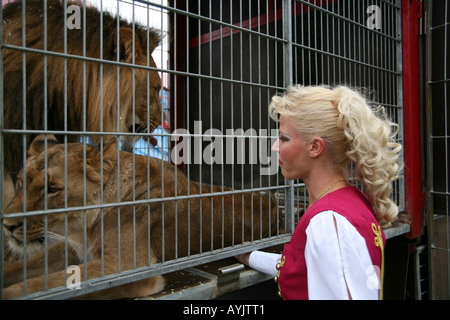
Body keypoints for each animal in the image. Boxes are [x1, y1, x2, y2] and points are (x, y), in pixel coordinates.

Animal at [1, 134, 280, 298]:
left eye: (52, 189)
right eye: (20, 182)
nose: (7, 225)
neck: (84, 227)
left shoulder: (127, 265)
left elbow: (42, 285)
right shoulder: (72, 248)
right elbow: (24, 267)